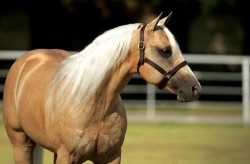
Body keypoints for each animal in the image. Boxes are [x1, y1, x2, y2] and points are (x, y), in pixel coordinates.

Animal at [2, 12, 201, 163]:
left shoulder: (111, 156)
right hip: (21, 143)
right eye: (165, 50)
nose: (195, 88)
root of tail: (27, 59)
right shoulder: (67, 156)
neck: (93, 104)